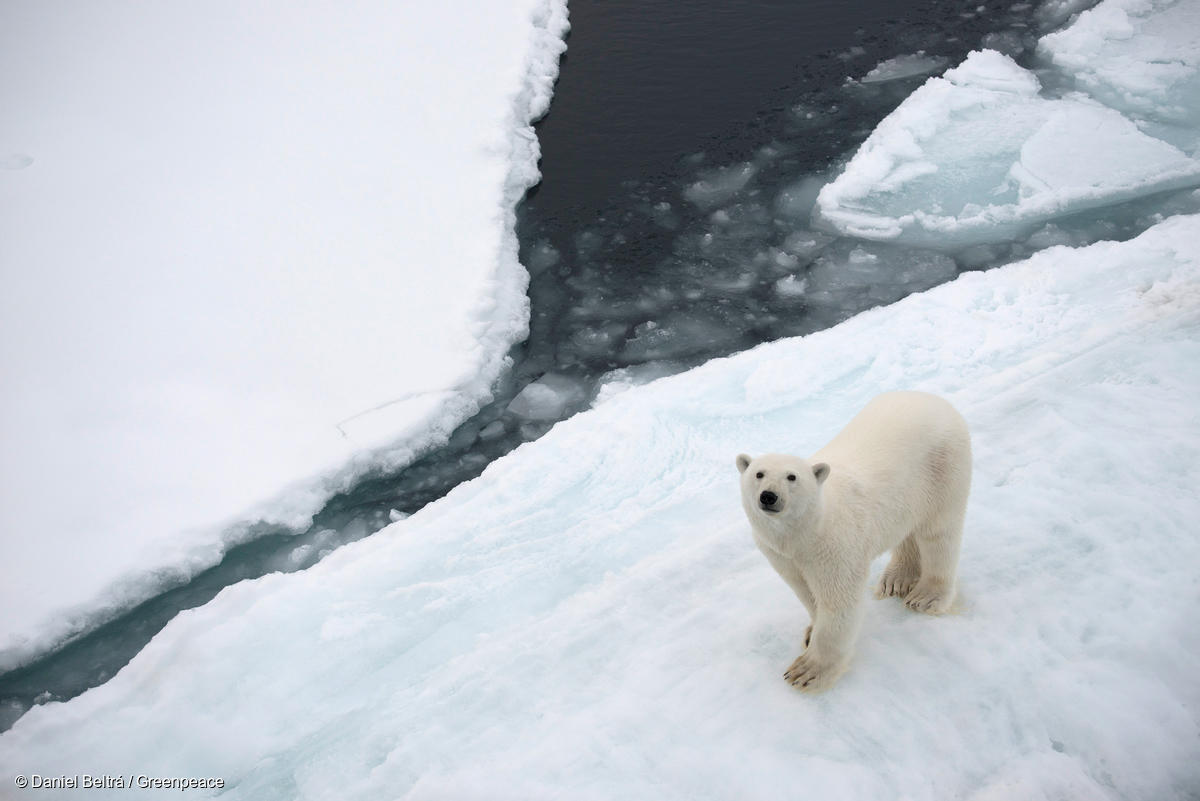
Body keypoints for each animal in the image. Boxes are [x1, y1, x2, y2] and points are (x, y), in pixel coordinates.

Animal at [734, 390, 969, 690]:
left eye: (792, 477)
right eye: (759, 473)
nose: (769, 496)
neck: (806, 531)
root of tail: (933, 399)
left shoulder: (834, 545)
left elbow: (838, 601)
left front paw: (807, 670)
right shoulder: (780, 553)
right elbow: (804, 590)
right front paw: (810, 631)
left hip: (943, 466)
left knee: (939, 532)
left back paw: (927, 596)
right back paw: (896, 580)